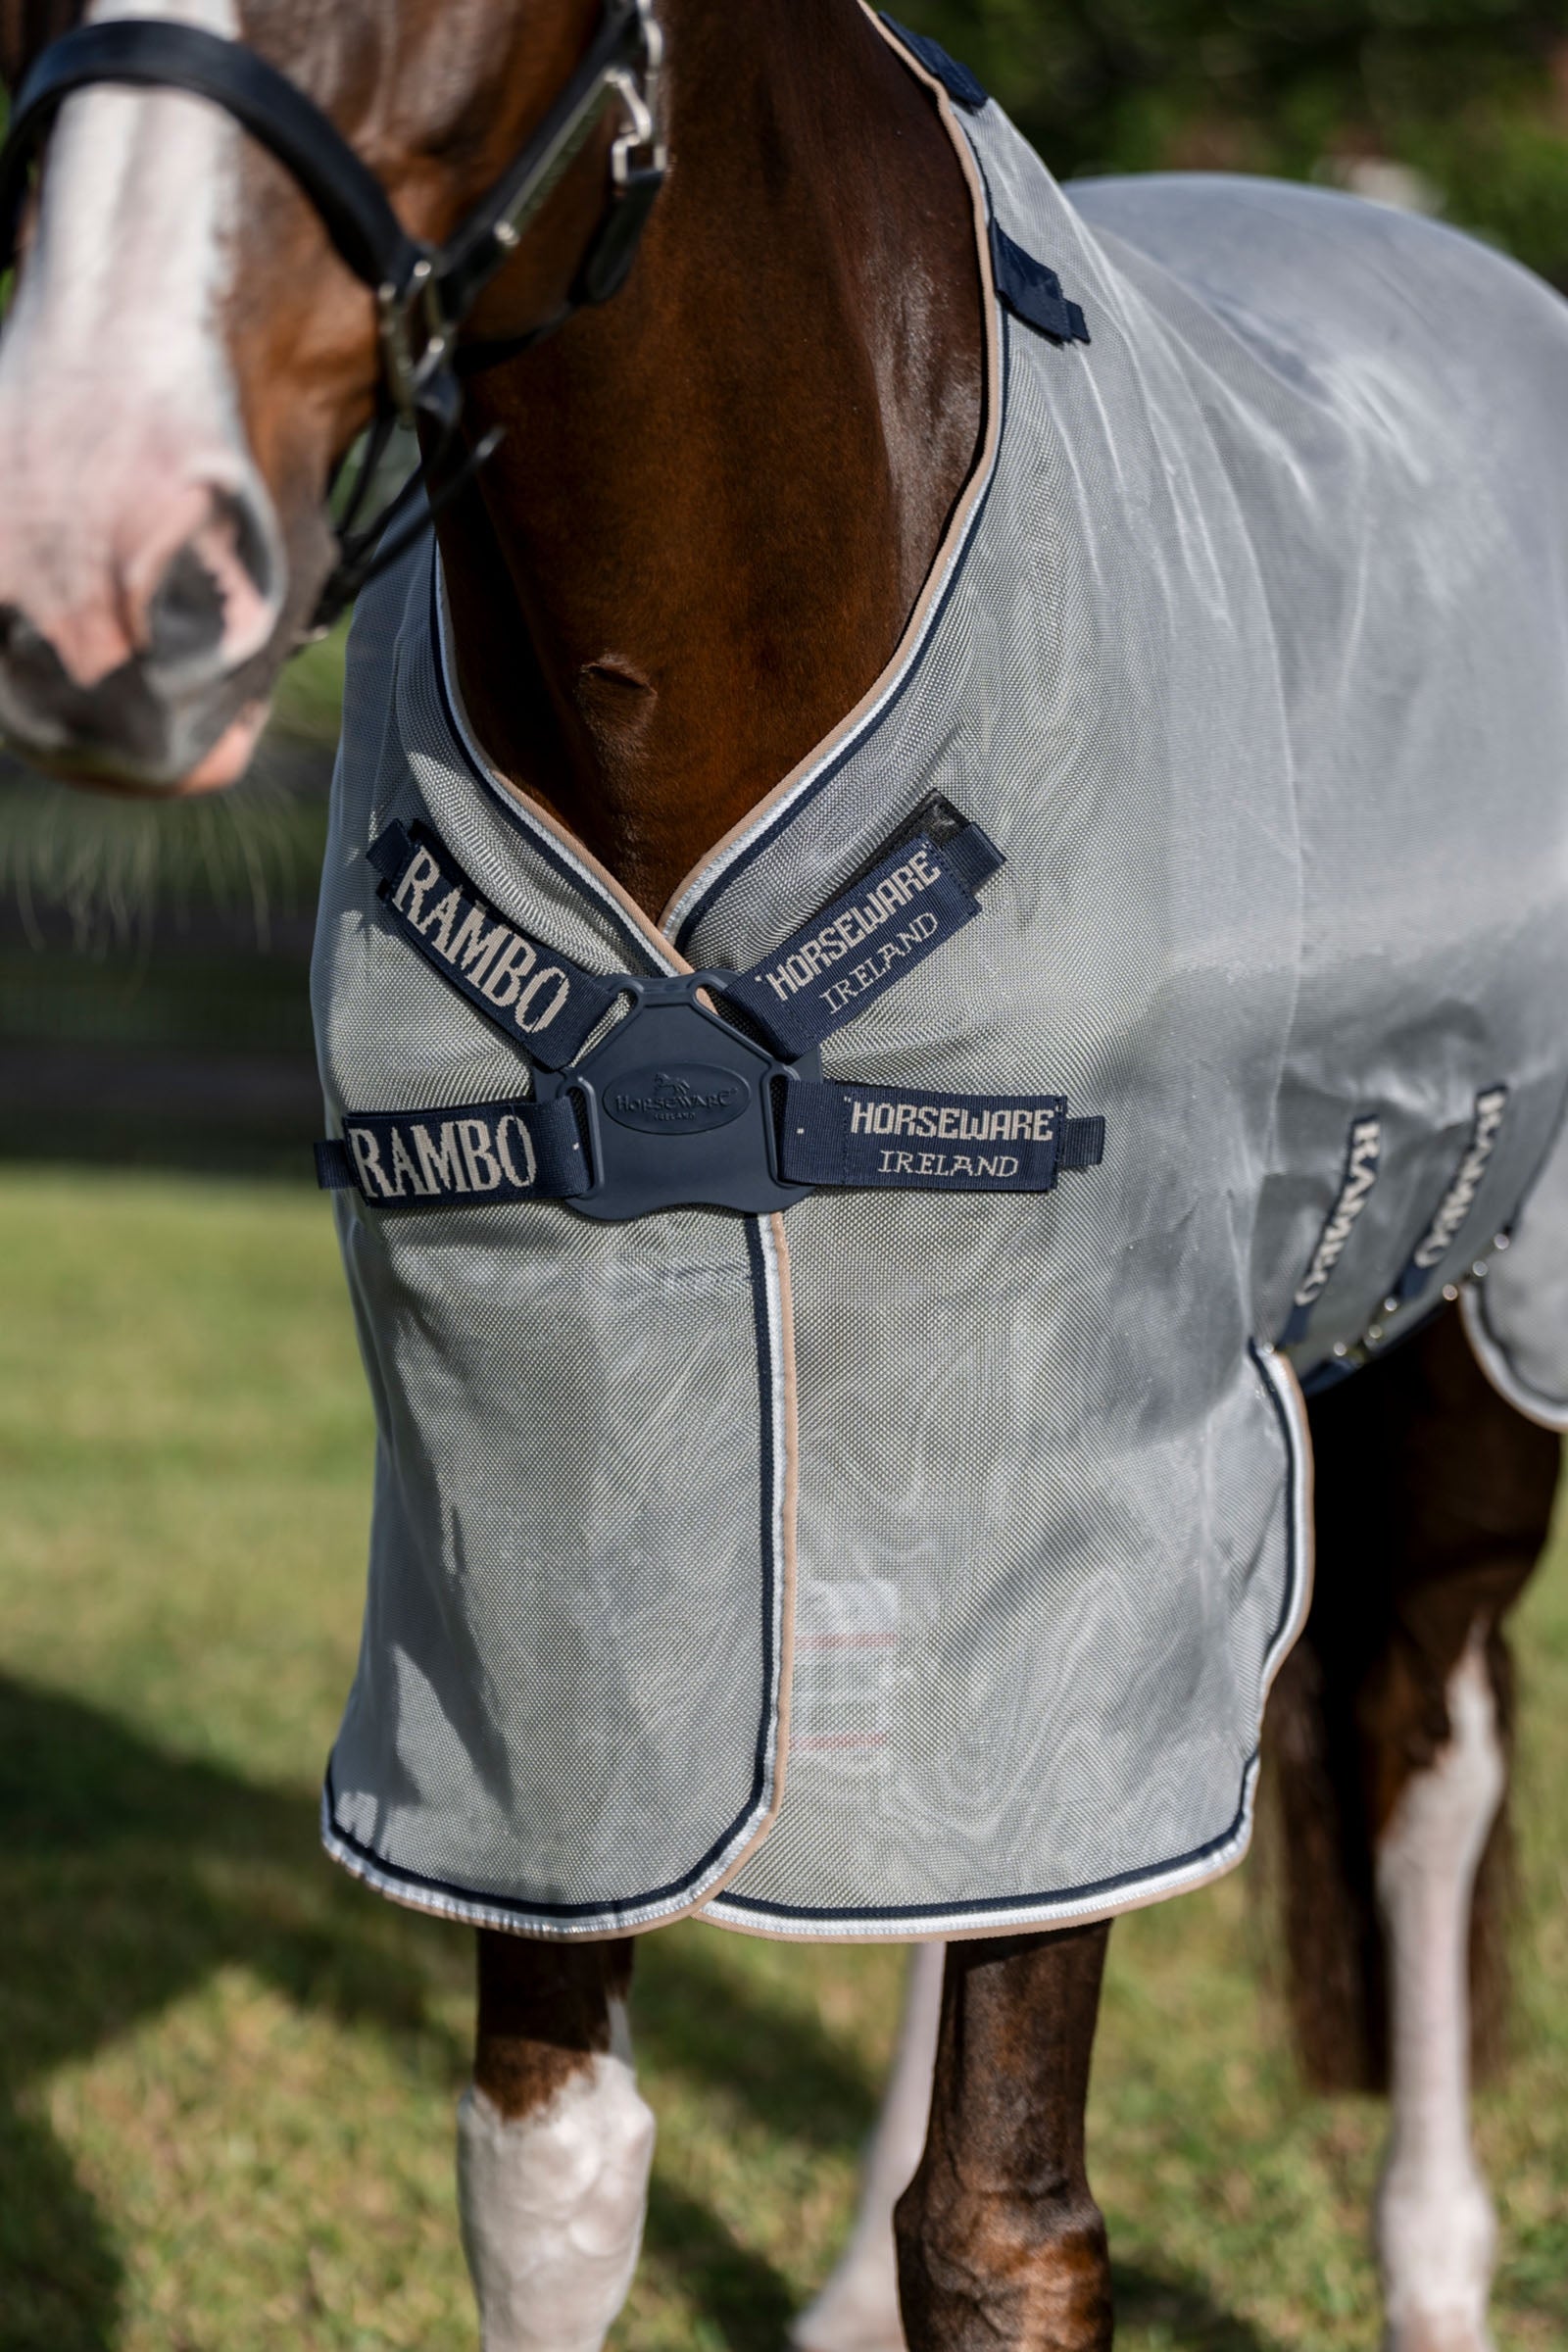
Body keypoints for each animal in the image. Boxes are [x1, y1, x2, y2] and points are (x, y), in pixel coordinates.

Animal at [0, 5, 1561, 2350]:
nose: (97, 575)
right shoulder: (529, 1543)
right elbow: (549, 2172)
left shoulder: (1102, 1496)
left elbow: (1003, 2239)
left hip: (1469, 1353)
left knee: (1425, 1769)